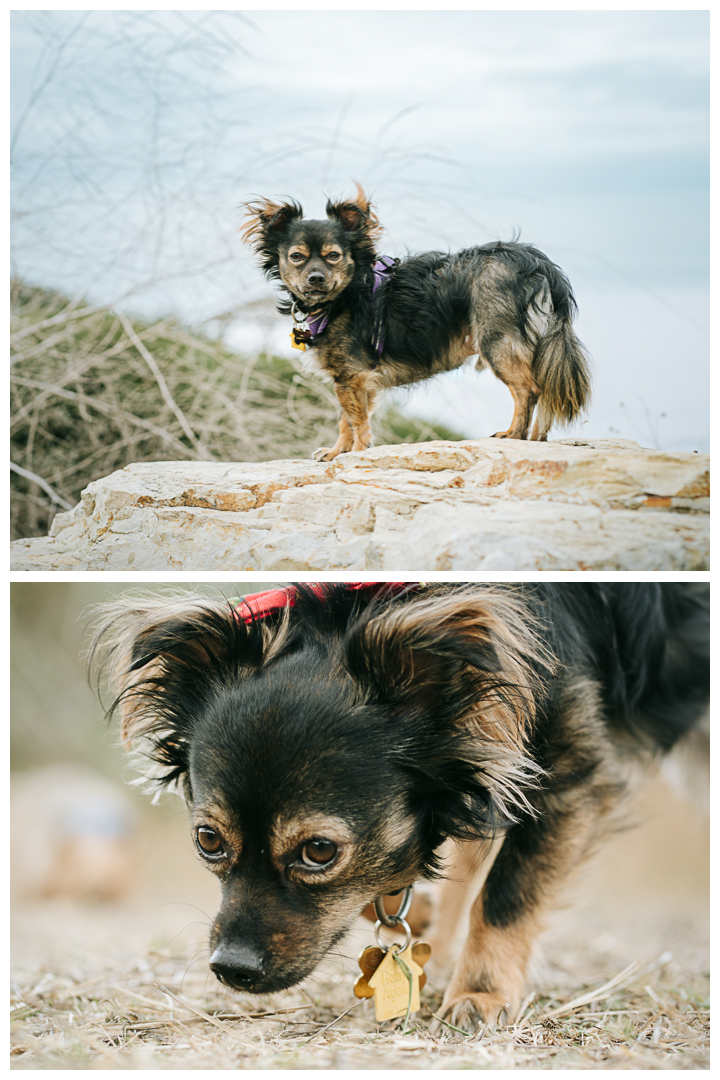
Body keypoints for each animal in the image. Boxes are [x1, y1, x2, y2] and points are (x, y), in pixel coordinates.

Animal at [91, 583, 708, 1028]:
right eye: (209, 841)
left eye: (319, 851)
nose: (231, 969)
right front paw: (429, 915)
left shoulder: (568, 774)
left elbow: (506, 895)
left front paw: (481, 992)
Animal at [241, 184, 591, 460]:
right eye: (297, 257)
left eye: (334, 256)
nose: (315, 278)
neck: (345, 296)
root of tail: (535, 261)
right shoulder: (355, 380)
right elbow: (346, 419)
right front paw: (338, 452)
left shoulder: (351, 376)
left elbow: (356, 421)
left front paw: (356, 453)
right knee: (542, 391)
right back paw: (537, 439)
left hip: (497, 340)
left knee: (528, 389)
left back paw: (514, 434)